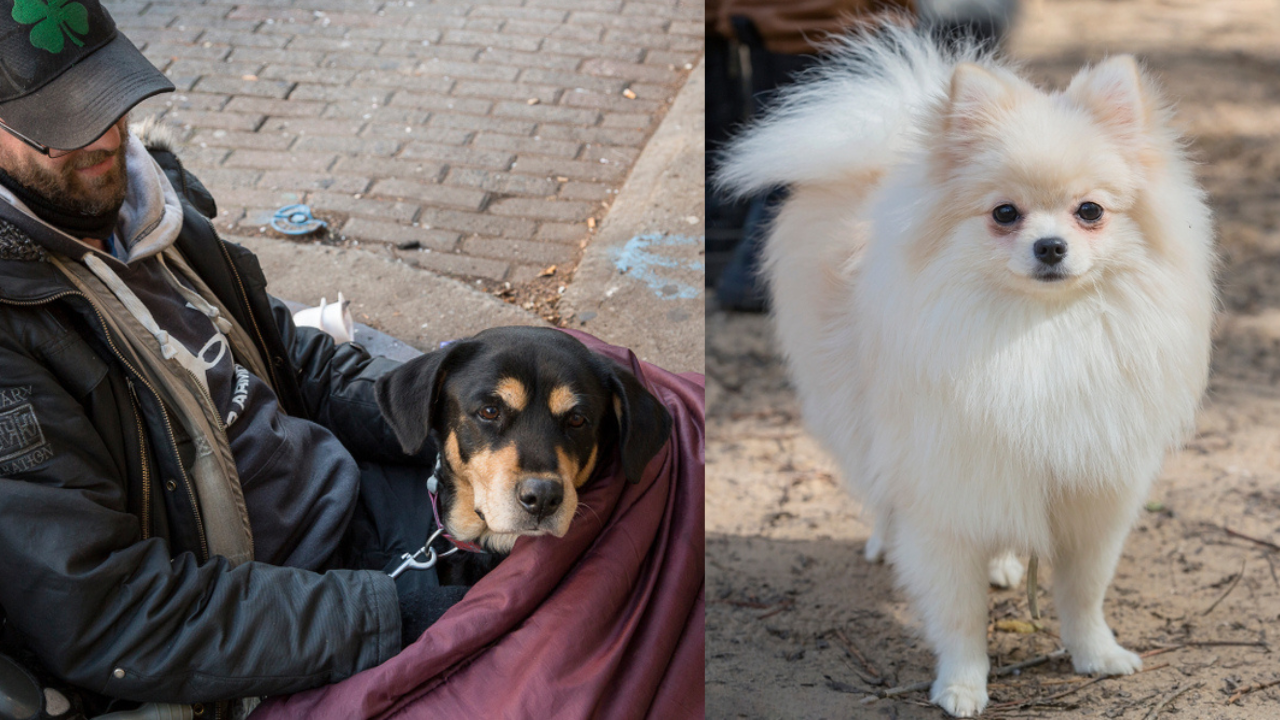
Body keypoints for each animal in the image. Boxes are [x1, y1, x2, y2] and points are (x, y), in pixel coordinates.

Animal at [721, 25, 1208, 712]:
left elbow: (1083, 591)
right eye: (1005, 213)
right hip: (853, 410)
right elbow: (958, 611)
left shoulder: (1091, 491)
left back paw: (1004, 564)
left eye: (1090, 211)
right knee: (876, 481)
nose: (1050, 246)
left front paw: (1097, 654)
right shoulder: (945, 490)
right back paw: (886, 539)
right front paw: (961, 683)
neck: (1038, 331)